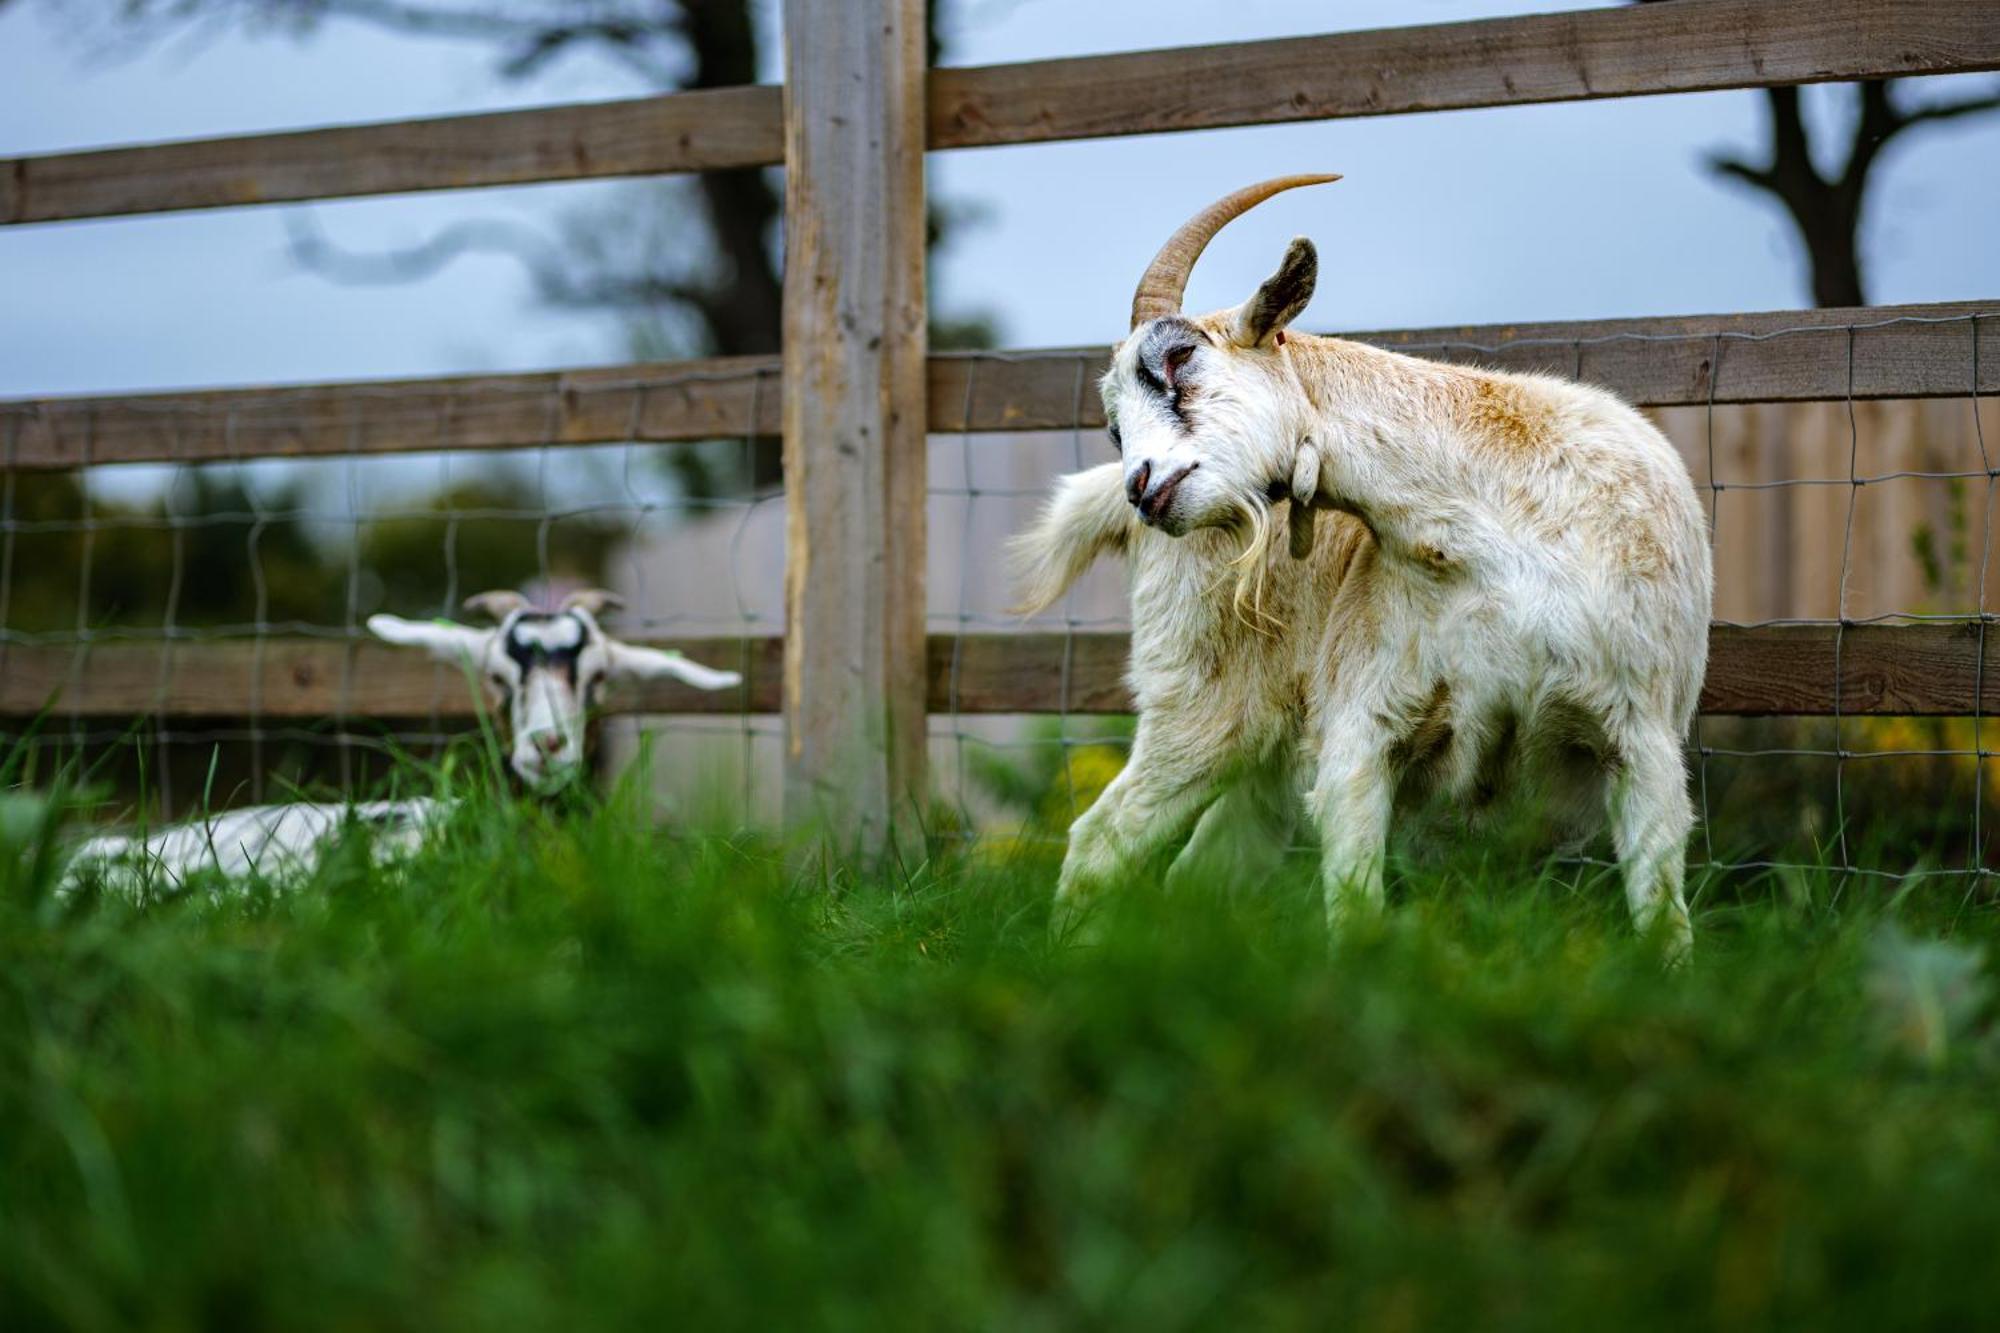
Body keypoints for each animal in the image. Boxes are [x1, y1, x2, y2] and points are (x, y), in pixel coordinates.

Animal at [1016, 174, 1720, 956]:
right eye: (1114, 426)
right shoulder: (1362, 731)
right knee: (1102, 837)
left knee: (1201, 870)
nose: (1143, 487)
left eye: (1178, 360)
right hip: (1201, 707)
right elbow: (1355, 906)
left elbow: (1662, 913)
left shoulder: (1642, 734)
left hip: (1259, 756)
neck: (1496, 536)